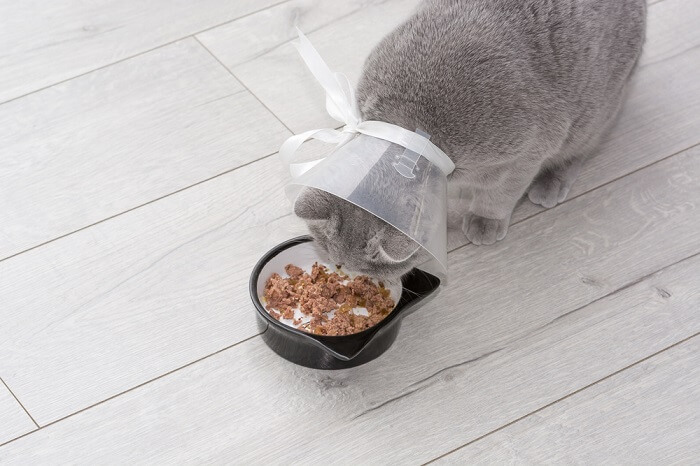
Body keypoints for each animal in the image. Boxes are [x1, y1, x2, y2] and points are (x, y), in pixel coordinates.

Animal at [292, 0, 648, 276]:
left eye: (368, 268)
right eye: (331, 255)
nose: (345, 272)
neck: (410, 131)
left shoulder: (529, 148)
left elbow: (501, 193)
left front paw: (485, 221)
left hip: (596, 111)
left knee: (581, 150)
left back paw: (551, 184)